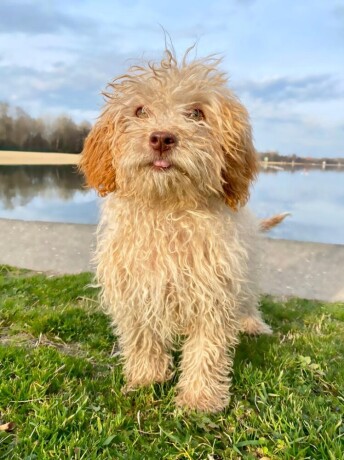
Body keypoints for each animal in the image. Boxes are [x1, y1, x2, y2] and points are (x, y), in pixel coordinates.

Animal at [80, 51, 282, 414]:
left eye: (197, 113)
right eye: (140, 110)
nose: (162, 138)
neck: (168, 209)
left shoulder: (213, 291)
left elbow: (206, 349)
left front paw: (199, 400)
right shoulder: (136, 289)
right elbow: (142, 339)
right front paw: (147, 378)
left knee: (248, 301)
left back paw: (252, 324)